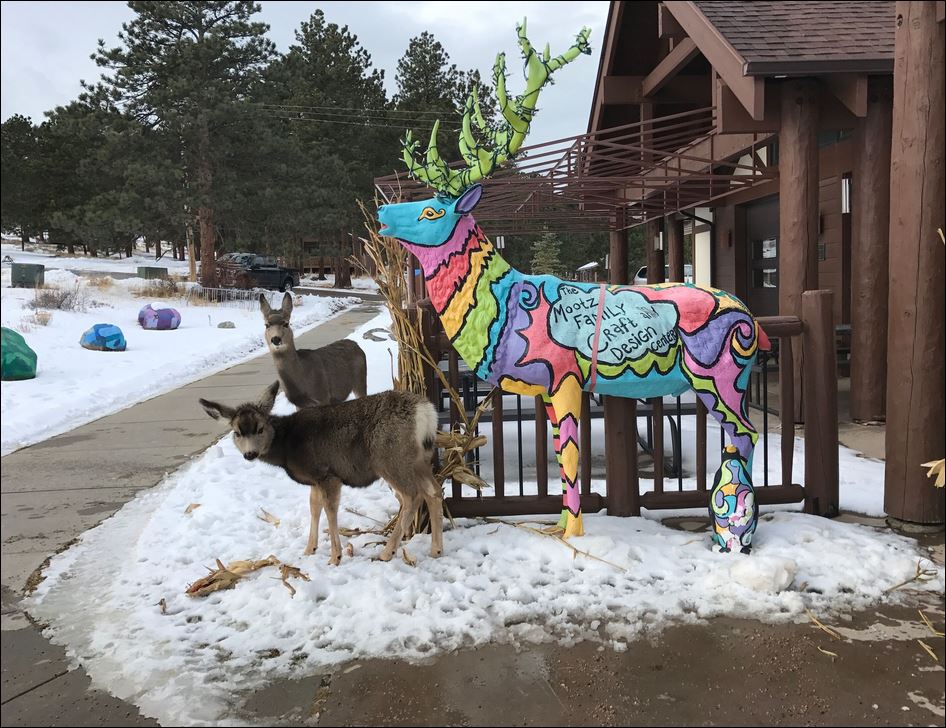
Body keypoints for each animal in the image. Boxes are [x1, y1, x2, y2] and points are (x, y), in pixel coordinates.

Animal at [199, 384, 442, 564]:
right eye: (237, 432)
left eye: (260, 428)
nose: (250, 453)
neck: (287, 446)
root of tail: (425, 412)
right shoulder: (314, 480)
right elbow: (314, 506)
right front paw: (309, 550)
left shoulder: (327, 474)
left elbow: (329, 509)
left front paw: (335, 556)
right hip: (419, 459)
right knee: (434, 490)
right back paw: (436, 549)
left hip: (389, 458)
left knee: (411, 495)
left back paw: (386, 553)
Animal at [376, 19, 768, 536]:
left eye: (431, 210)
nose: (382, 211)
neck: (500, 311)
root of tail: (753, 322)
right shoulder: (545, 388)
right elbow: (562, 459)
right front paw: (556, 526)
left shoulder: (564, 378)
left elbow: (569, 457)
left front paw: (574, 535)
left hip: (722, 375)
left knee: (745, 433)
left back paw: (735, 524)